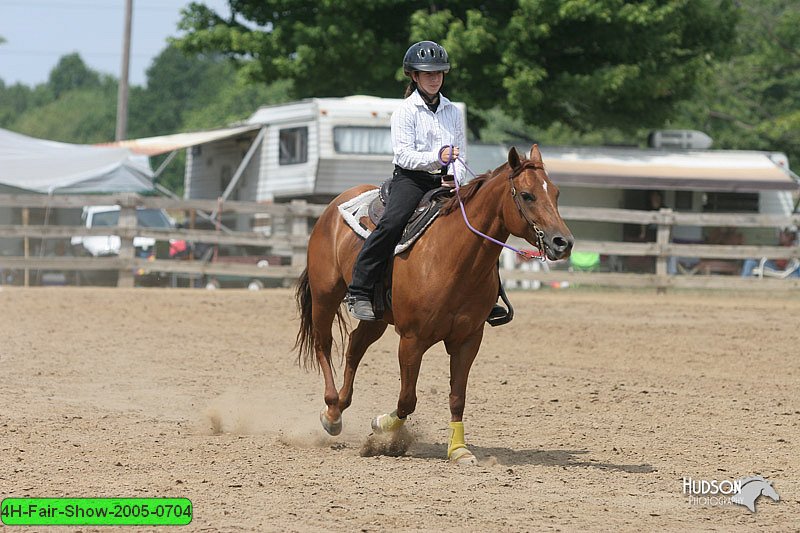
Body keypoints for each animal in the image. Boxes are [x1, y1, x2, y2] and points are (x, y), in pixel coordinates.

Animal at [296, 144, 572, 462]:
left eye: (556, 193)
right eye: (527, 195)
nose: (564, 242)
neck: (453, 258)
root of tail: (333, 207)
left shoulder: (468, 339)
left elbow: (457, 398)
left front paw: (459, 450)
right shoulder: (412, 339)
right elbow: (407, 399)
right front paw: (382, 427)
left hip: (376, 316)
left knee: (355, 346)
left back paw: (341, 405)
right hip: (325, 295)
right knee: (324, 344)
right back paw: (331, 412)